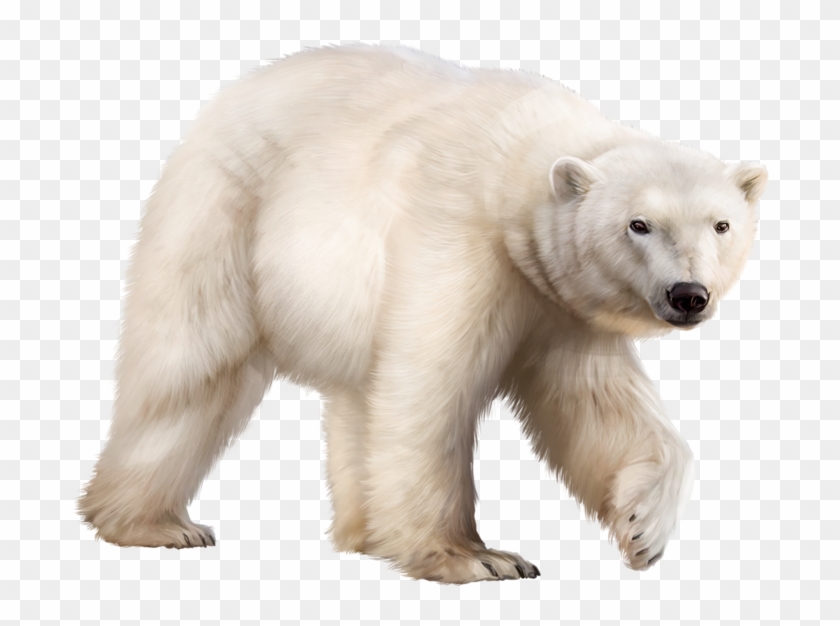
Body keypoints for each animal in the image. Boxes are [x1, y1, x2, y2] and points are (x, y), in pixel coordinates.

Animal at [79, 44, 767, 583]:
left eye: (721, 224)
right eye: (638, 224)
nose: (688, 294)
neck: (513, 157)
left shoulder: (556, 299)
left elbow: (595, 402)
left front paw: (644, 528)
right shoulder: (458, 235)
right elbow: (430, 388)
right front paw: (476, 557)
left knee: (357, 396)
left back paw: (365, 533)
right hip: (225, 211)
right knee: (191, 365)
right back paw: (154, 523)